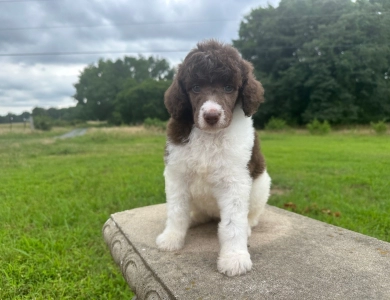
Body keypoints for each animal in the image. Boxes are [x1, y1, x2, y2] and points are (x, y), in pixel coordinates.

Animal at [155, 39, 272, 276]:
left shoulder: (235, 181)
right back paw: (194, 219)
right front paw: (171, 238)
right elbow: (176, 210)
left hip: (262, 185)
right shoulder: (176, 174)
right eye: (195, 88)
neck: (209, 136)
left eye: (229, 88)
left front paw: (234, 257)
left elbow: (233, 224)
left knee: (251, 216)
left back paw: (247, 227)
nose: (211, 116)